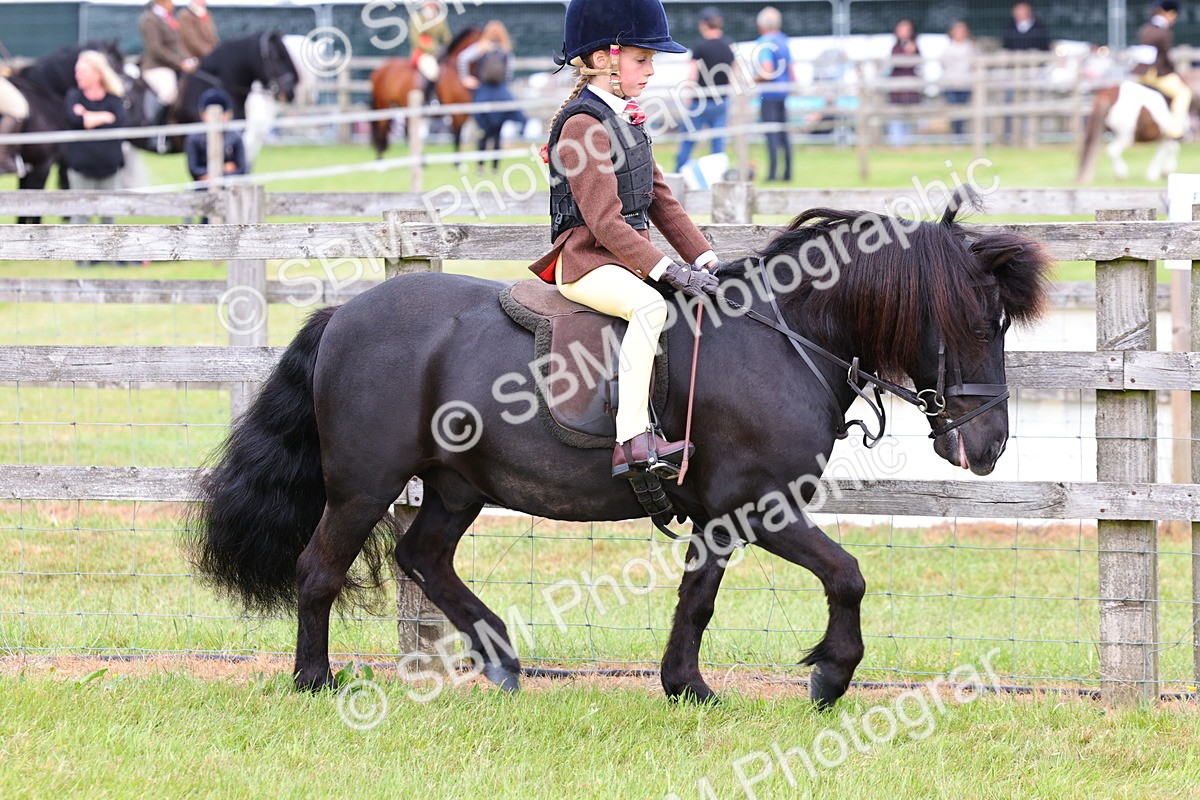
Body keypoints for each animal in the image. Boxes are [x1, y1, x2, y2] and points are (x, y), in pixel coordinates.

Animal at [189, 190, 1051, 708]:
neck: (782, 340)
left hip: (458, 485)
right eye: (982, 324)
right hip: (365, 485)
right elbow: (848, 575)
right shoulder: (762, 506)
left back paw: (502, 659)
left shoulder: (721, 518)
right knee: (320, 570)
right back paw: (314, 679)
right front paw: (831, 675)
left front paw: (686, 686)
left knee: (424, 557)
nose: (991, 445)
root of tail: (345, 314)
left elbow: (698, 599)